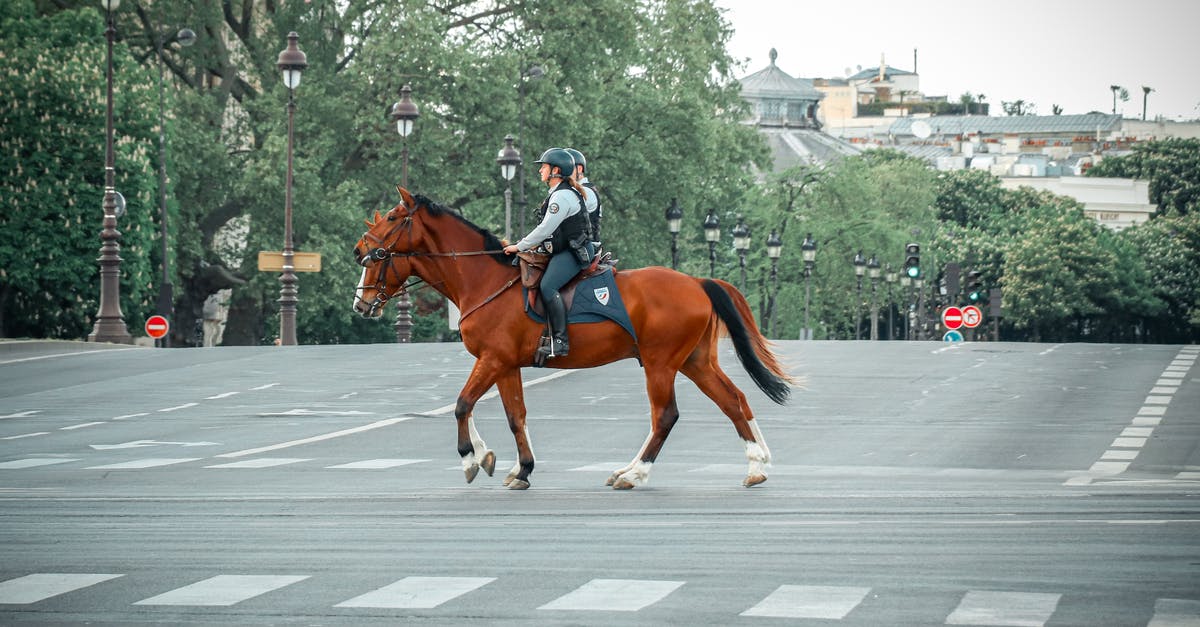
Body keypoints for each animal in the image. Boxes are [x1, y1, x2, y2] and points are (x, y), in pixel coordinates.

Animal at [350, 184, 792, 487]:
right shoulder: (506, 364)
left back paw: (634, 473)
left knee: (665, 416)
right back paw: (756, 464)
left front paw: (472, 458)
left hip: (661, 364)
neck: (485, 279)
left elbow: (462, 405)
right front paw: (520, 467)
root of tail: (697, 282)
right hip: (695, 361)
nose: (360, 251)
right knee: (733, 401)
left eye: (393, 218)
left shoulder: (492, 359)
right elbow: (514, 416)